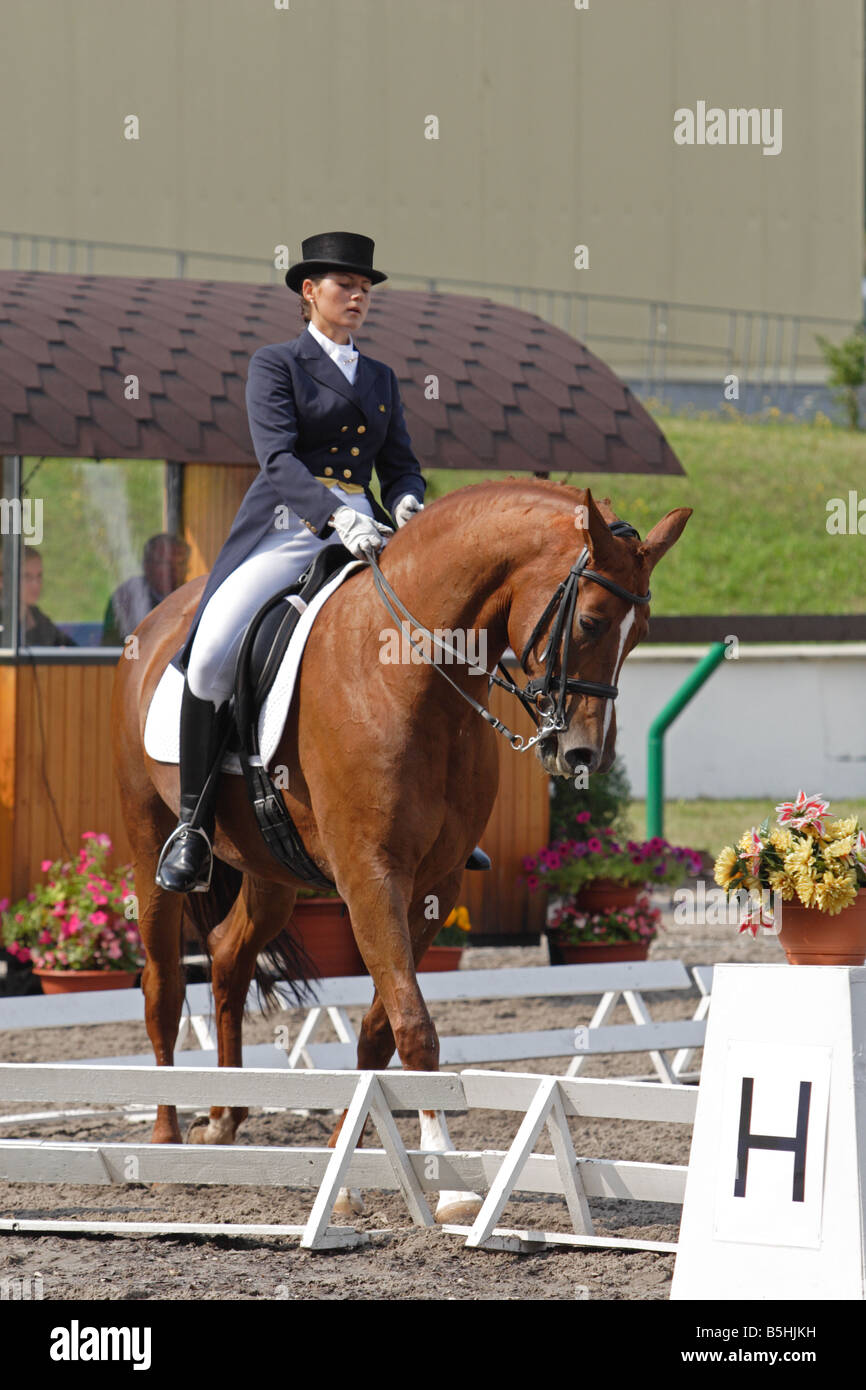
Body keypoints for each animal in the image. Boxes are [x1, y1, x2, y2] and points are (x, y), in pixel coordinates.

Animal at [112, 478, 690, 1222]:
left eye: (639, 634)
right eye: (590, 622)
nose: (582, 755)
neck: (410, 676)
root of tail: (159, 618)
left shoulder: (434, 883)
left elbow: (380, 1027)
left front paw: (348, 1160)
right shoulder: (371, 875)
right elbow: (414, 1024)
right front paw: (448, 1180)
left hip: (271, 875)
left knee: (228, 958)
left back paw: (224, 1116)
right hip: (148, 840)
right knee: (161, 985)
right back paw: (166, 1142)